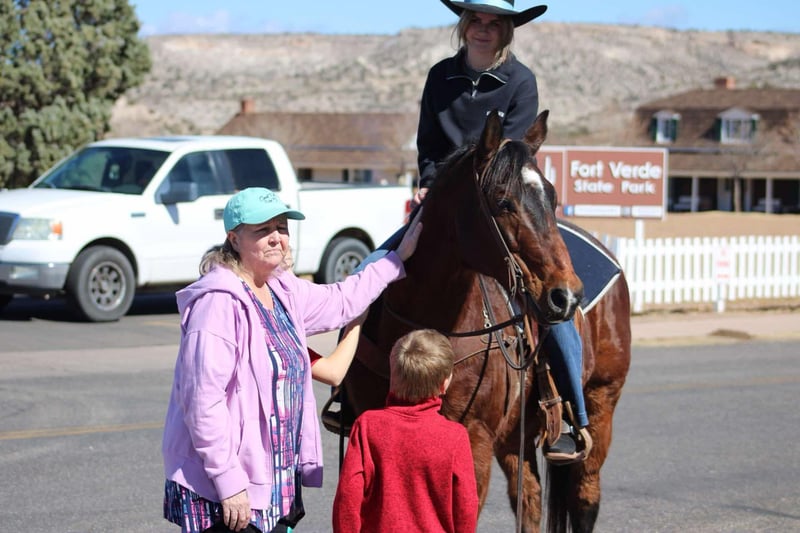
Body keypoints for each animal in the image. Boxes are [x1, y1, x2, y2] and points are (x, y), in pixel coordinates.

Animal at [335, 109, 631, 532]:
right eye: (503, 201)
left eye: (553, 197)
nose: (567, 296)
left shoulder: (474, 442)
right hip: (516, 435)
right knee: (529, 497)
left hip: (601, 403)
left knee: (585, 496)